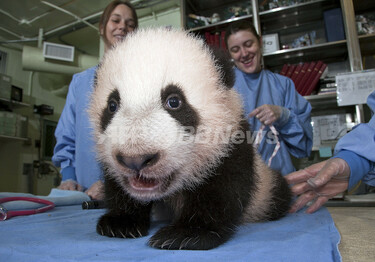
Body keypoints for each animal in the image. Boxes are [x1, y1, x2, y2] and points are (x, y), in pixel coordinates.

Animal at [89, 27, 292, 250]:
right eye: (112, 105)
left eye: (174, 101)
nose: (135, 160)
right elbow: (118, 184)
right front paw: (121, 222)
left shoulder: (230, 144)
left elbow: (221, 190)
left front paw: (185, 234)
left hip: (265, 190)